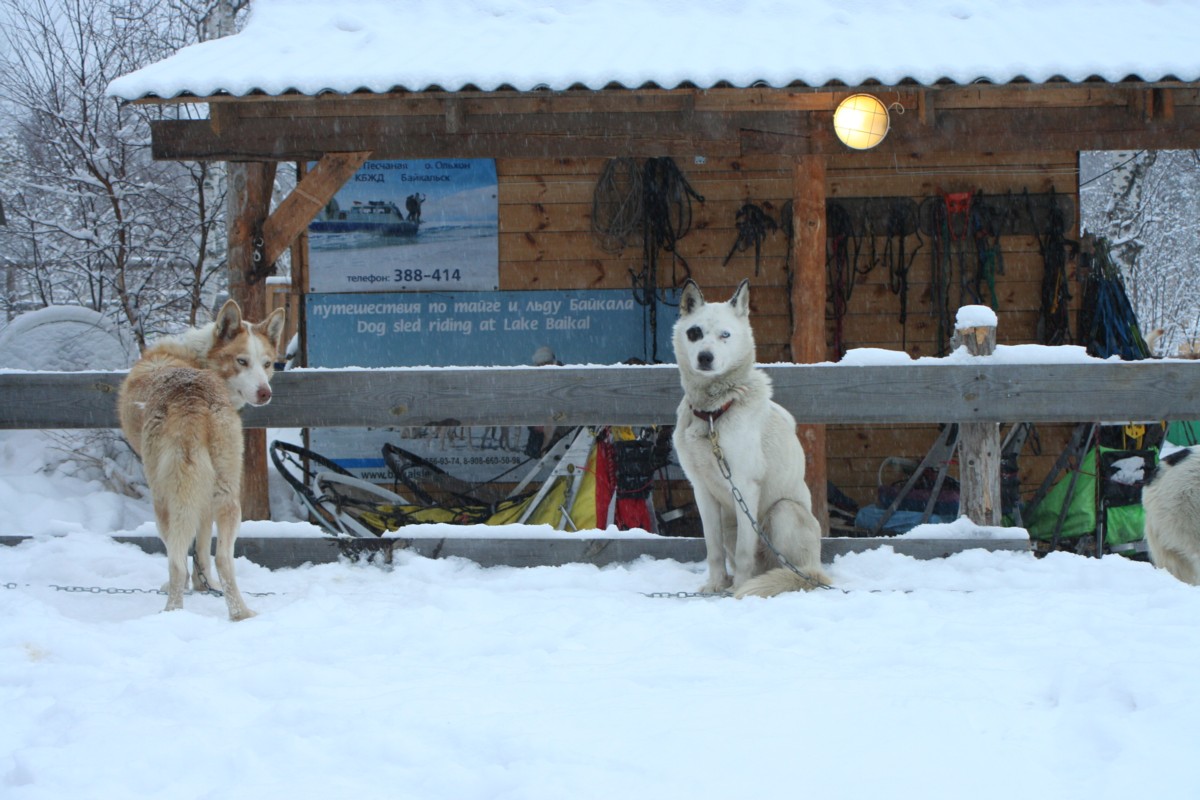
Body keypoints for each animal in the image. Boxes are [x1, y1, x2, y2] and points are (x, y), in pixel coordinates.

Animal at [119, 299, 285, 618]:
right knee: (223, 558)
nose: (265, 393)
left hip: (164, 499)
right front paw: (204, 585)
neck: (199, 360)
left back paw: (173, 611)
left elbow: (189, 552)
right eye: (242, 361)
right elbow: (202, 550)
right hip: (228, 493)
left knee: (175, 560)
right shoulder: (207, 497)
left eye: (267, 363)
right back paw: (239, 613)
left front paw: (194, 585)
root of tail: (191, 397)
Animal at [672, 278, 830, 597]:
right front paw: (715, 585)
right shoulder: (702, 491)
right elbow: (713, 549)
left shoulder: (745, 486)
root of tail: (815, 569)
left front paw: (738, 590)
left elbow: (745, 550)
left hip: (783, 511)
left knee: (787, 567)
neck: (713, 413)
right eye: (695, 333)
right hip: (728, 521)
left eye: (725, 335)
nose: (705, 357)